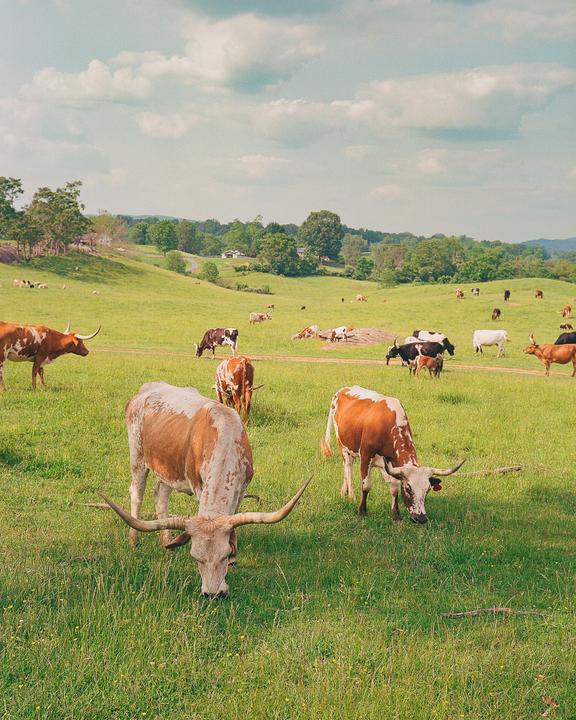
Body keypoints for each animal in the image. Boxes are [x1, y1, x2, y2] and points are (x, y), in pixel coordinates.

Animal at [102, 382, 309, 596]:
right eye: (195, 558)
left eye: (225, 555)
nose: (213, 594)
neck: (225, 439)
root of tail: (146, 389)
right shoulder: (198, 487)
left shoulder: (242, 489)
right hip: (137, 458)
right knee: (137, 494)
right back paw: (134, 539)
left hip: (167, 468)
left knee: (160, 497)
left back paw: (167, 540)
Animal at [320, 386, 464, 521]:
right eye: (408, 488)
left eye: (427, 490)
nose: (421, 518)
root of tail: (341, 390)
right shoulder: (366, 457)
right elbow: (366, 486)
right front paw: (362, 511)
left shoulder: (393, 465)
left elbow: (394, 489)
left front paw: (396, 514)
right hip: (343, 446)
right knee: (348, 468)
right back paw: (351, 495)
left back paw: (343, 491)